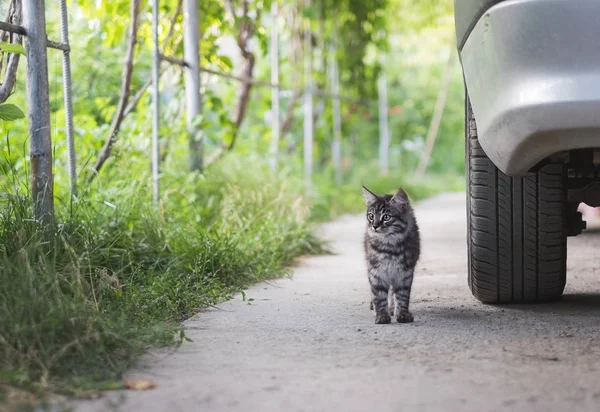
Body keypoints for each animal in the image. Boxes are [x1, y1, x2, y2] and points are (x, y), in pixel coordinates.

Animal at [360, 187, 422, 326]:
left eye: (386, 217)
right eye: (371, 216)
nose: (375, 226)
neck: (389, 246)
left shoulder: (404, 273)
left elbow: (402, 296)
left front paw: (402, 314)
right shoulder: (376, 273)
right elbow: (379, 296)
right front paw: (382, 315)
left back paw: (393, 308)